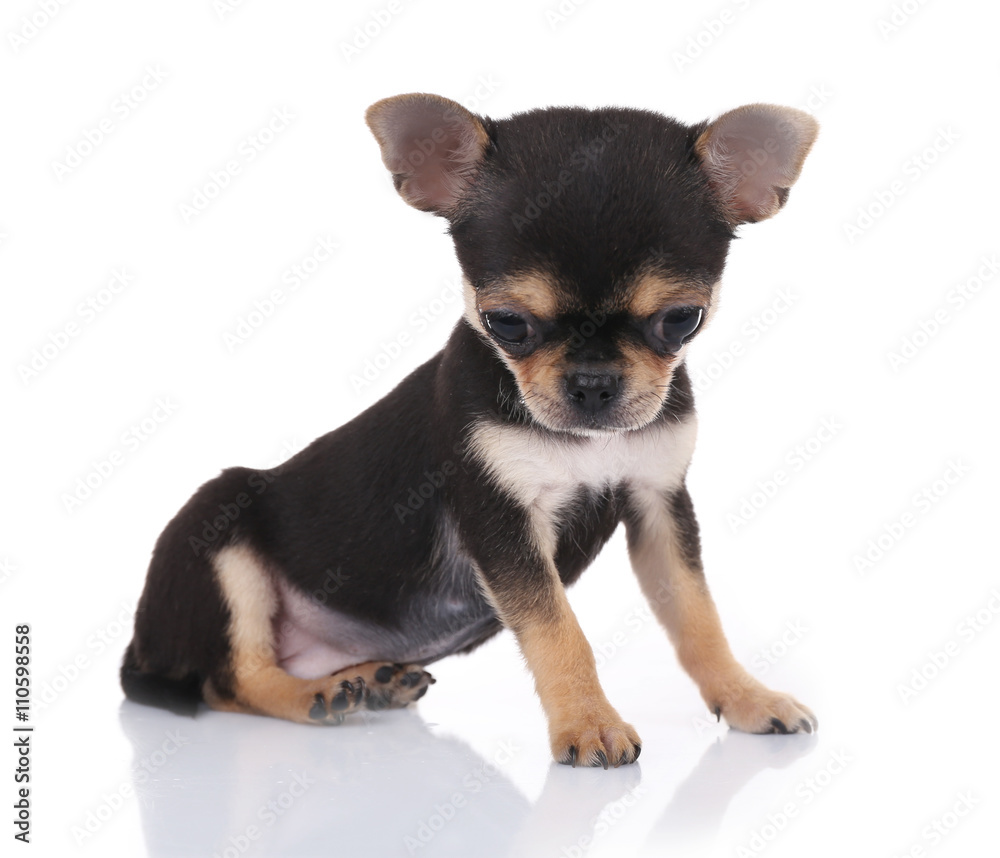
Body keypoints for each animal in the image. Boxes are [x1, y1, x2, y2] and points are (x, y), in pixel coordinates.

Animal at [121, 92, 816, 764]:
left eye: (681, 319)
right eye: (506, 322)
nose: (593, 382)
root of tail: (141, 648)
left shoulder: (658, 504)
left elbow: (698, 617)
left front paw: (746, 696)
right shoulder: (500, 518)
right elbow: (558, 630)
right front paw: (588, 724)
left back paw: (370, 680)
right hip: (216, 528)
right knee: (229, 679)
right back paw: (319, 696)